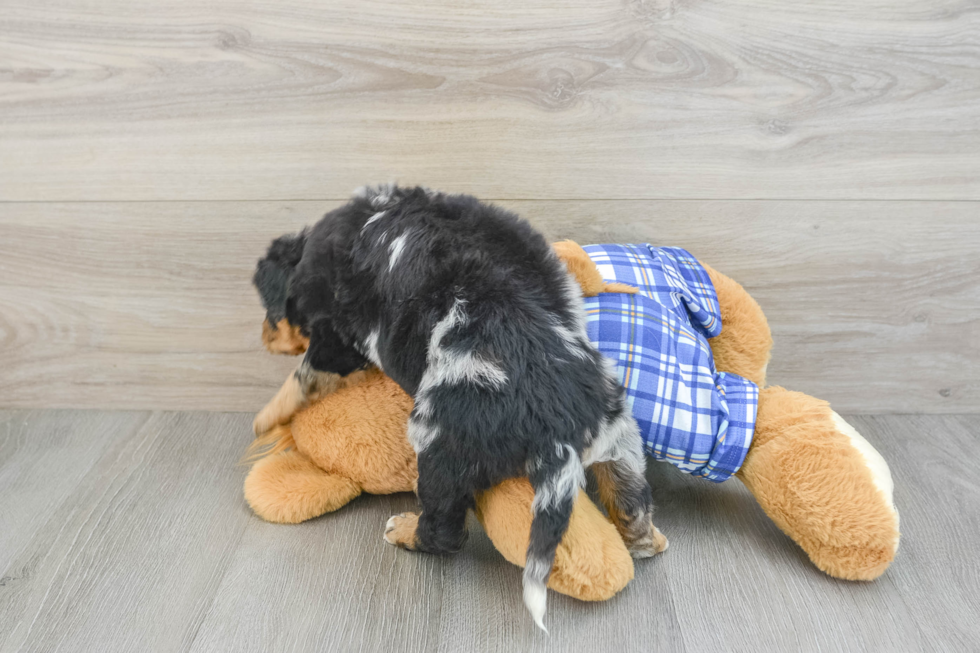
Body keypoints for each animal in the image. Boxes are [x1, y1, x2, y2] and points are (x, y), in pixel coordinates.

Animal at [255, 185, 660, 632]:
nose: (263, 339)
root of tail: (553, 419)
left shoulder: (334, 338)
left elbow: (303, 376)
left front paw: (265, 419)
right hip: (620, 437)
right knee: (631, 500)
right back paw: (648, 541)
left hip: (438, 445)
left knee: (445, 531)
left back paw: (404, 530)